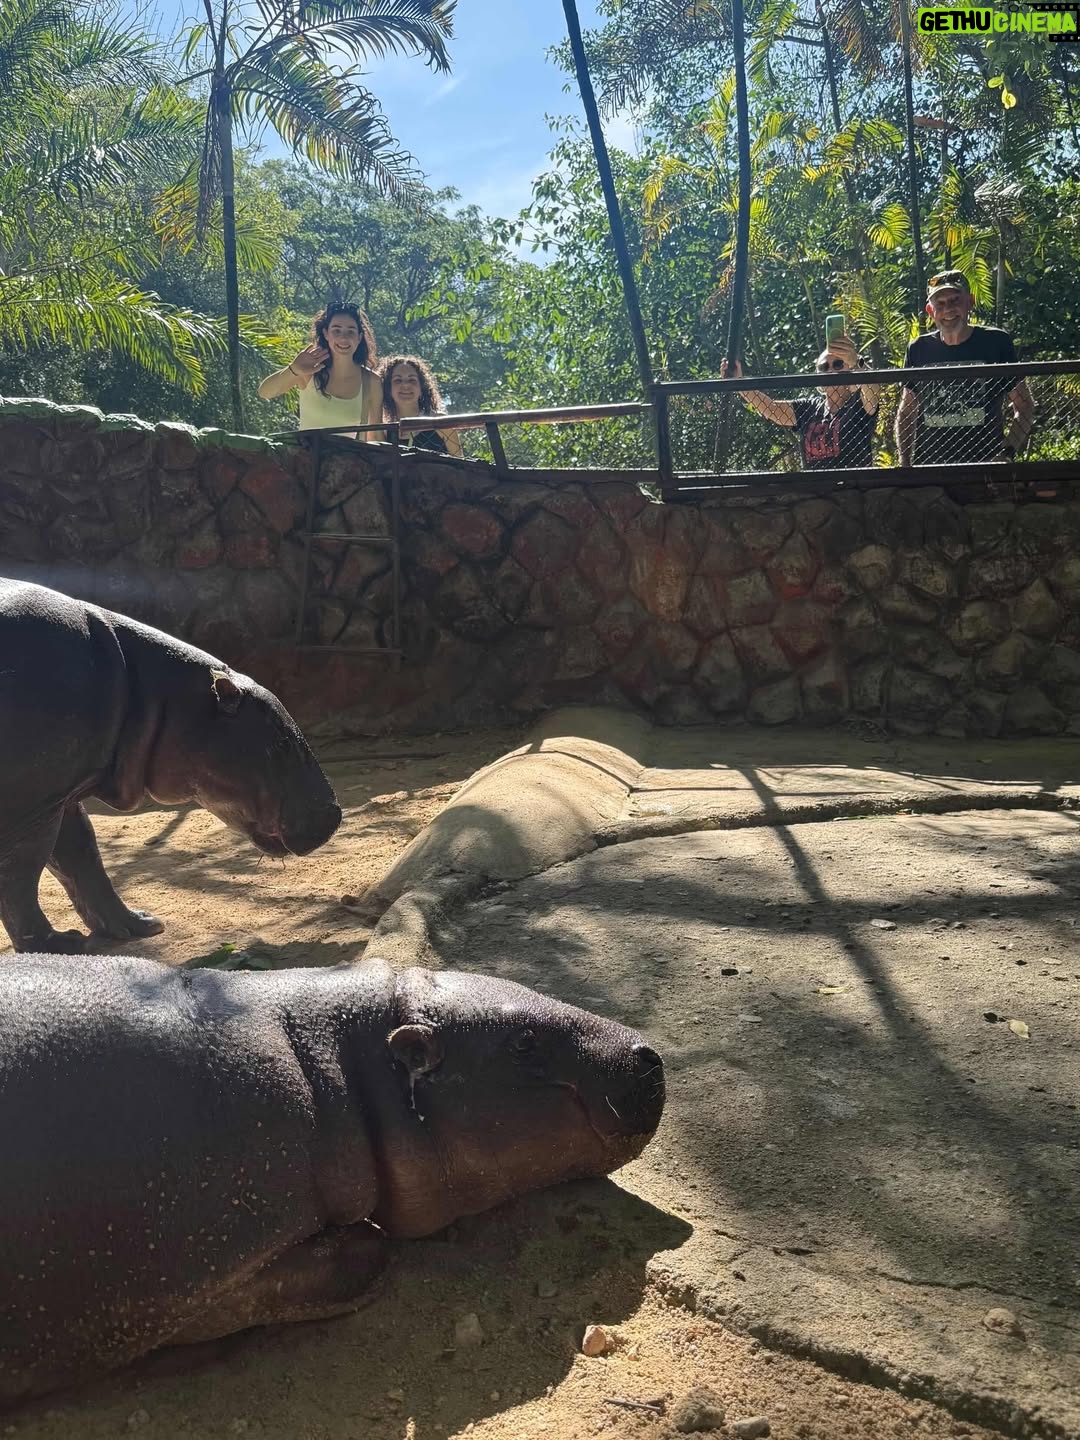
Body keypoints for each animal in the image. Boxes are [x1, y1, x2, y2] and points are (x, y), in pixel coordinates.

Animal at [0, 578, 341, 953]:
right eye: (281, 743)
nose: (336, 814)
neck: (155, 696)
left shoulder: (61, 794)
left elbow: (82, 857)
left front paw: (141, 925)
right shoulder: (31, 803)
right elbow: (21, 871)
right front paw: (60, 945)